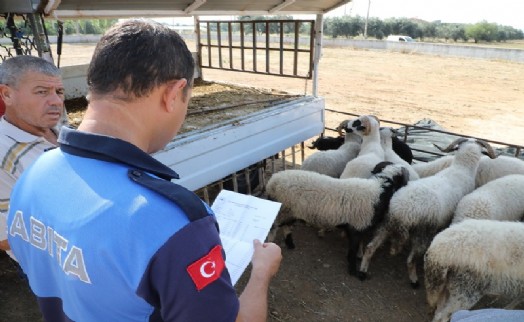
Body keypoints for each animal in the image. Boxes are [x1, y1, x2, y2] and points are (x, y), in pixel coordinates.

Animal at [266, 162, 410, 278]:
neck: (379, 191)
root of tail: (272, 181)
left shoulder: (359, 226)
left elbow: (357, 245)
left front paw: (358, 257)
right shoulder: (356, 226)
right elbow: (352, 250)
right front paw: (353, 271)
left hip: (290, 211)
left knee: (286, 226)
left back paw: (290, 244)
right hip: (281, 210)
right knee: (273, 228)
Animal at [356, 137, 496, 286]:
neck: (461, 169)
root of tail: (401, 212)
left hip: (385, 223)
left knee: (370, 247)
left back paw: (363, 270)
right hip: (421, 232)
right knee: (410, 260)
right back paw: (414, 280)